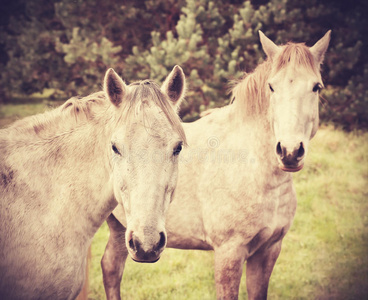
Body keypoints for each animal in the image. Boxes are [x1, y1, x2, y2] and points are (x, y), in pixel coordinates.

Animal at [102, 30, 332, 298]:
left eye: (316, 87)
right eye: (272, 87)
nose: (290, 151)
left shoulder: (269, 251)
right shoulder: (229, 252)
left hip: (122, 229)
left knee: (111, 267)